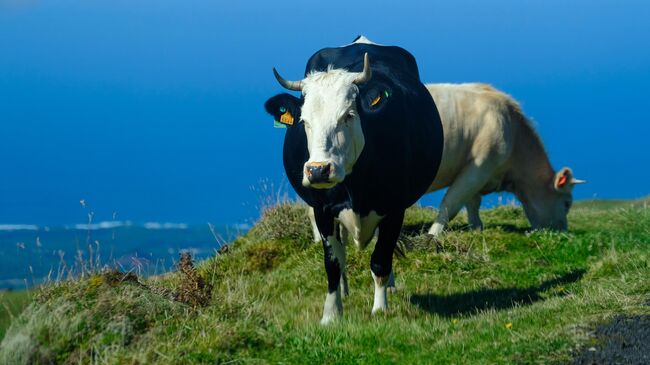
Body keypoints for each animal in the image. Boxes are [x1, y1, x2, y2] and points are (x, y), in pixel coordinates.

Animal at [262, 35, 440, 322]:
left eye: (348, 115)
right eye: (304, 121)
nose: (318, 170)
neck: (355, 188)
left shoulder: (395, 208)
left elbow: (380, 259)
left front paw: (380, 309)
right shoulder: (322, 209)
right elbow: (333, 263)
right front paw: (331, 314)